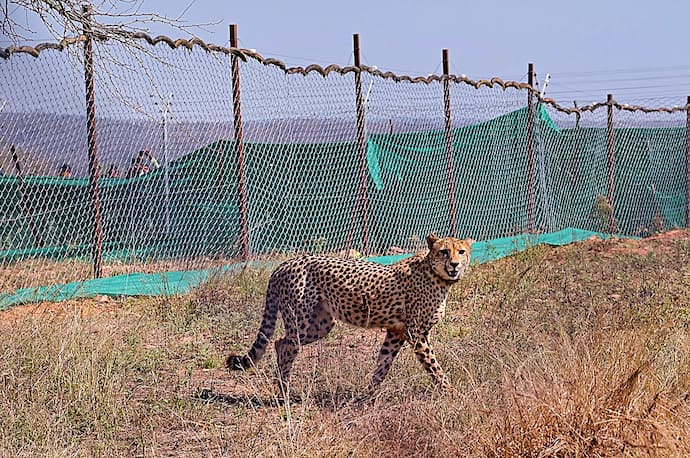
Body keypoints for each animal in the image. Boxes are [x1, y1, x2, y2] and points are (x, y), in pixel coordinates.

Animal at [228, 234, 470, 392]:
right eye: (444, 252)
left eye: (461, 251)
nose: (455, 265)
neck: (436, 275)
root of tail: (285, 263)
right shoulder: (416, 333)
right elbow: (434, 366)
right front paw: (450, 393)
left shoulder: (396, 332)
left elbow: (383, 365)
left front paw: (368, 397)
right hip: (301, 321)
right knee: (288, 346)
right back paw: (284, 393)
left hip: (321, 325)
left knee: (280, 343)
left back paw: (283, 387)